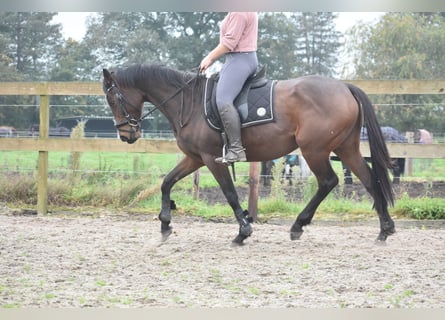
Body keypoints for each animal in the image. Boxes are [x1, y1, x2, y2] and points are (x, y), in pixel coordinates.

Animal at [102, 64, 394, 245]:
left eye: (113, 99)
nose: (126, 135)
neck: (189, 102)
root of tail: (344, 87)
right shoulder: (195, 158)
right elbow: (166, 182)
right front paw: (165, 224)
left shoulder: (212, 159)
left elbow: (230, 193)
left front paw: (243, 231)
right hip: (345, 147)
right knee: (369, 179)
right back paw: (385, 229)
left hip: (315, 150)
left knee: (328, 182)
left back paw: (298, 225)